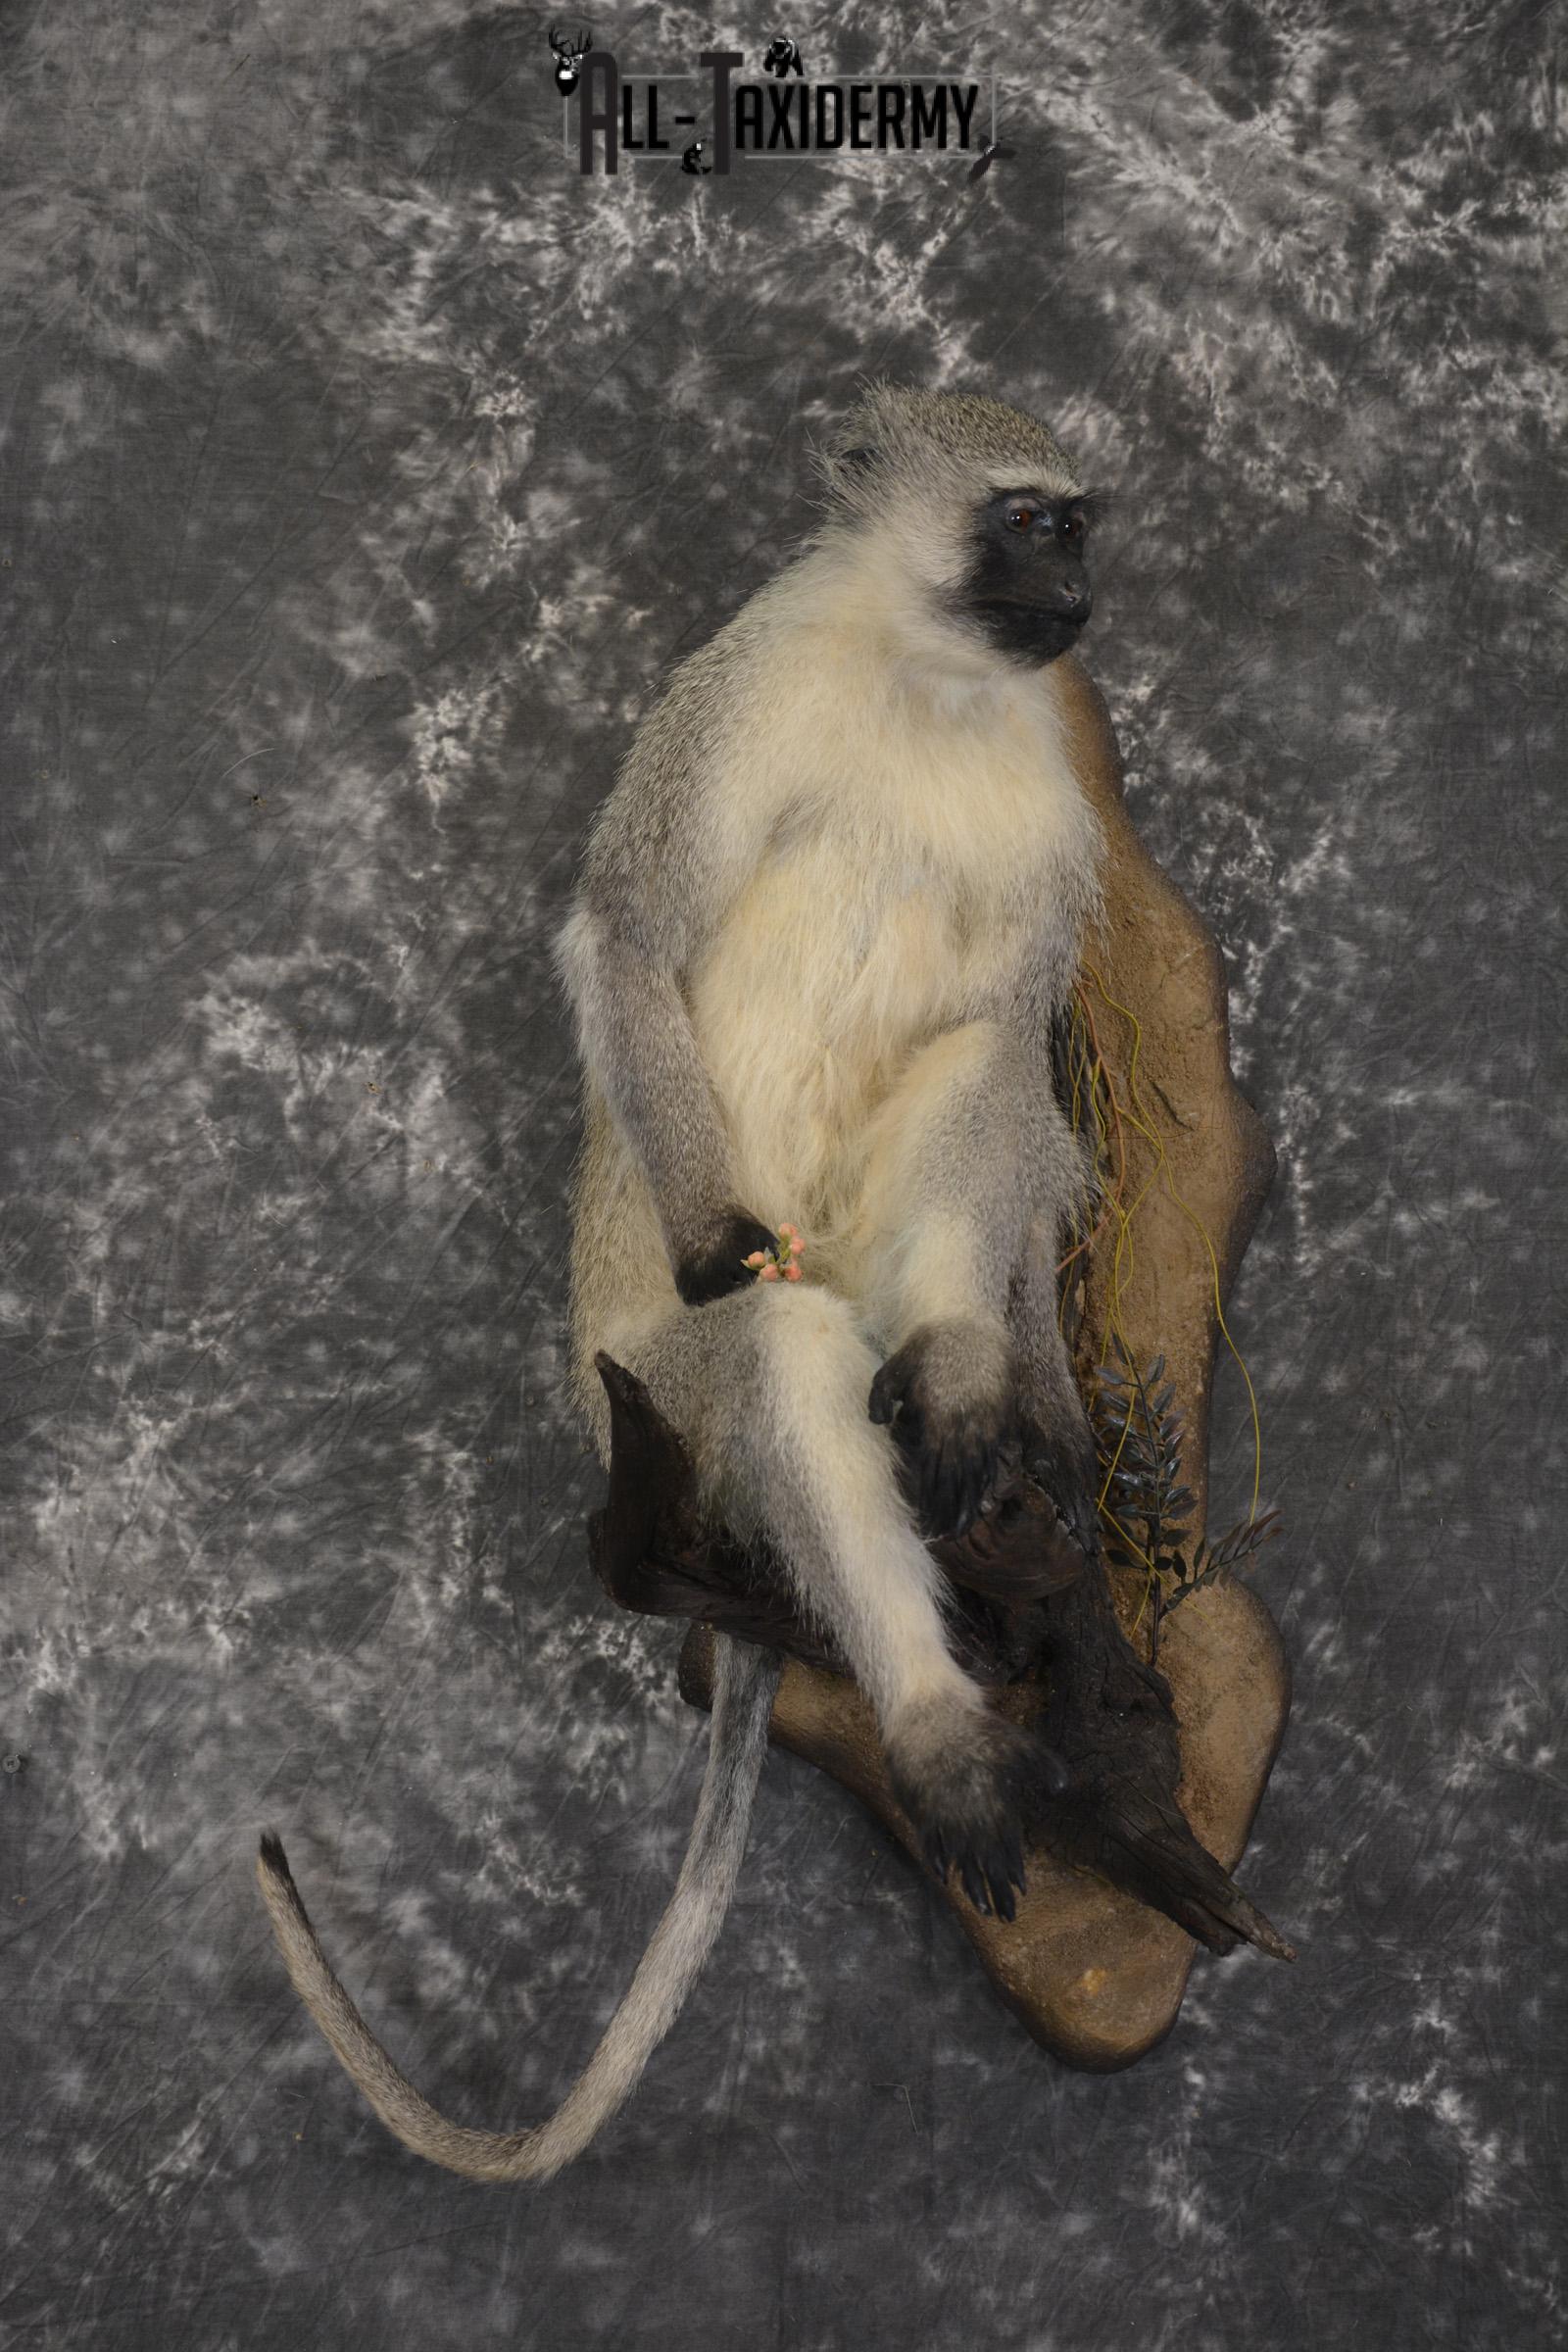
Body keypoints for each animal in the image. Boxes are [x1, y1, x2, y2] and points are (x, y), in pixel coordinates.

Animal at [258, 382, 1116, 2182]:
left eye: (1079, 526)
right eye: (1029, 523)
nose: (1083, 595)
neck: (927, 682)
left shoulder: (1057, 799)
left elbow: (1004, 1043)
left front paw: (1004, 1399)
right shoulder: (733, 692)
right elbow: (628, 936)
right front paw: (718, 1229)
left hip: (871, 1270)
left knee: (981, 1085)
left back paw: (961, 1385)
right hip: (666, 1398)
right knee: (779, 1348)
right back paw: (935, 1731)